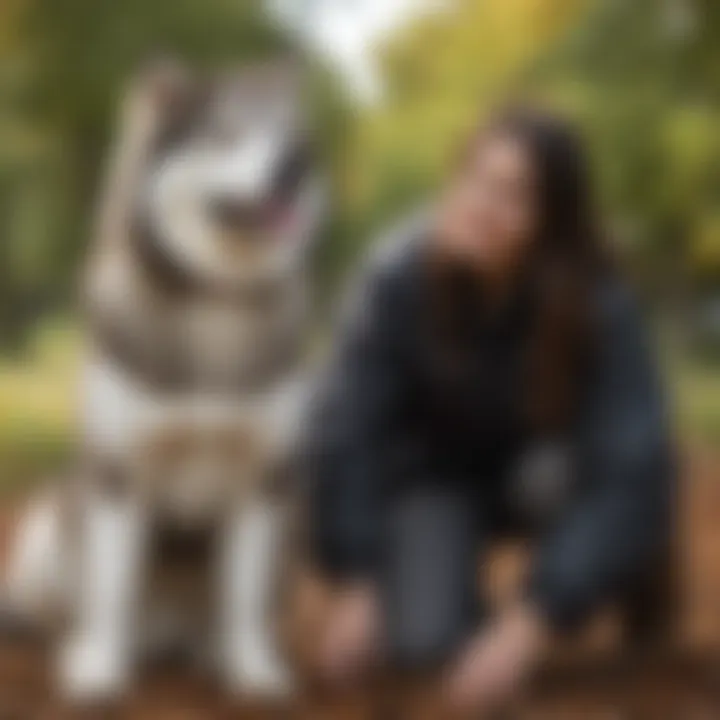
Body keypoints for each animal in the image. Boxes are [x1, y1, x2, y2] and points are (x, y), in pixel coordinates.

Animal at [2, 57, 326, 704]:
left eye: (289, 133)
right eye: (228, 132)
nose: (297, 162)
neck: (217, 303)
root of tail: (165, 641)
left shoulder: (264, 477)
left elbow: (242, 596)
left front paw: (252, 670)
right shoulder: (117, 472)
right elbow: (111, 586)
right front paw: (99, 668)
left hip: (294, 522)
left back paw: (210, 653)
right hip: (50, 522)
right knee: (62, 606)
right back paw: (69, 641)